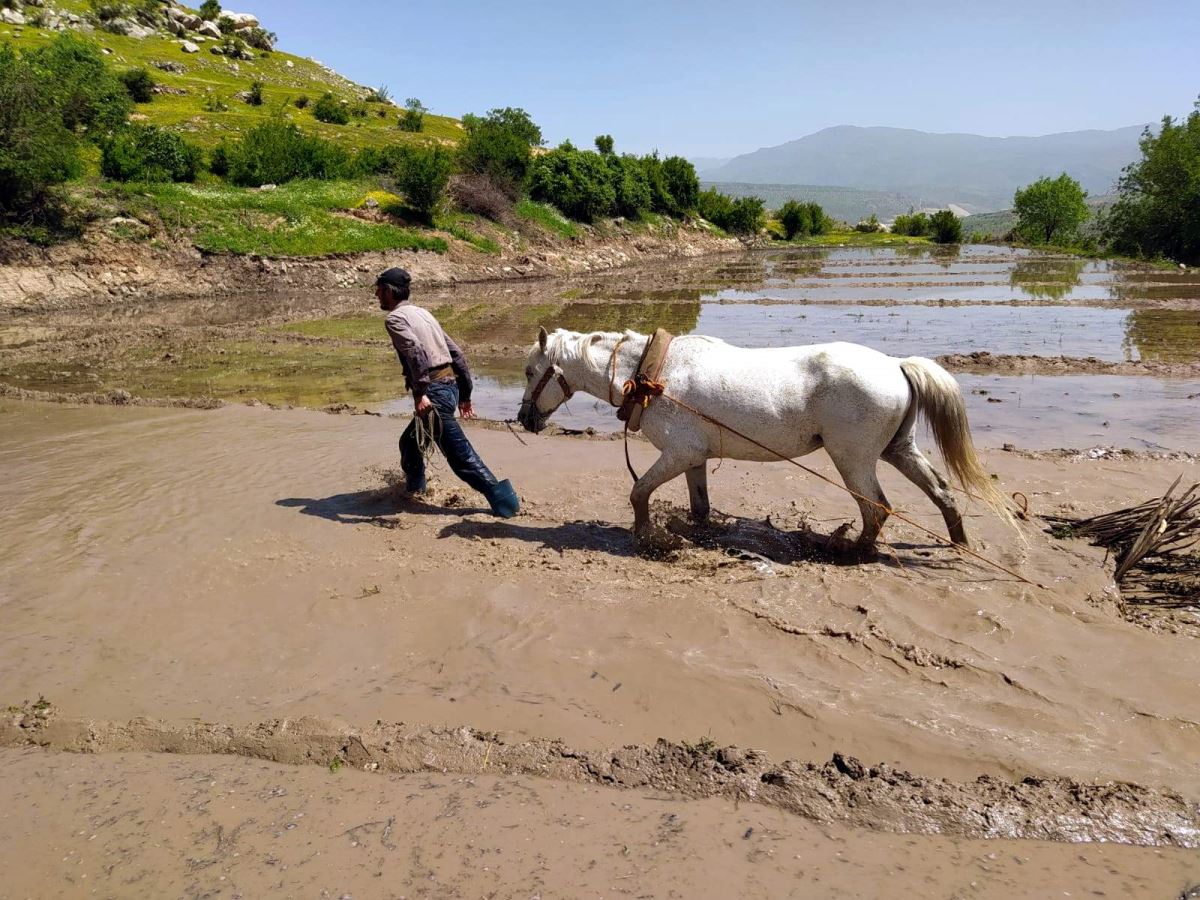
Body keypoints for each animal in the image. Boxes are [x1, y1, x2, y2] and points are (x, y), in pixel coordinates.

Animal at [516, 324, 1012, 549]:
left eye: (528, 371)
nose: (524, 419)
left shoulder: (678, 453)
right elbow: (699, 507)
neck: (655, 374)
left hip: (852, 459)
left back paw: (852, 553)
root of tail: (896, 365)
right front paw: (697, 535)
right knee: (942, 493)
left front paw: (647, 538)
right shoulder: (695, 458)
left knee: (877, 508)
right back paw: (958, 542)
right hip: (898, 450)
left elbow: (639, 492)